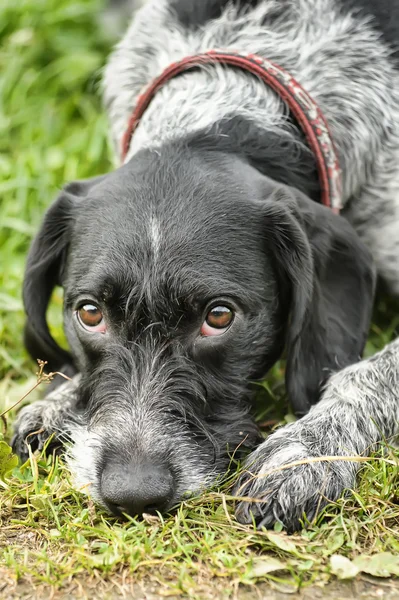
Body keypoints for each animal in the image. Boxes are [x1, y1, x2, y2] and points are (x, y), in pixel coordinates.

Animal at [11, 1, 399, 536]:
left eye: (219, 317)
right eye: (90, 313)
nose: (134, 493)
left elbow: (367, 373)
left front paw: (306, 451)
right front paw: (59, 401)